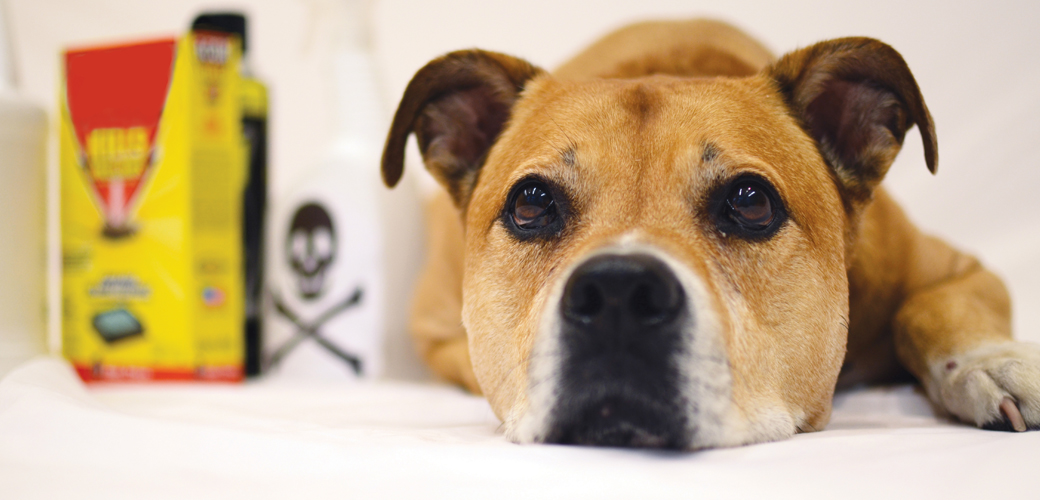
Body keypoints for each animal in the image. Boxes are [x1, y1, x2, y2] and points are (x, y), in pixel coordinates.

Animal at [380, 19, 1040, 449]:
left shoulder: (959, 268)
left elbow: (929, 307)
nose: (618, 294)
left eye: (751, 202)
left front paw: (991, 364)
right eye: (531, 203)